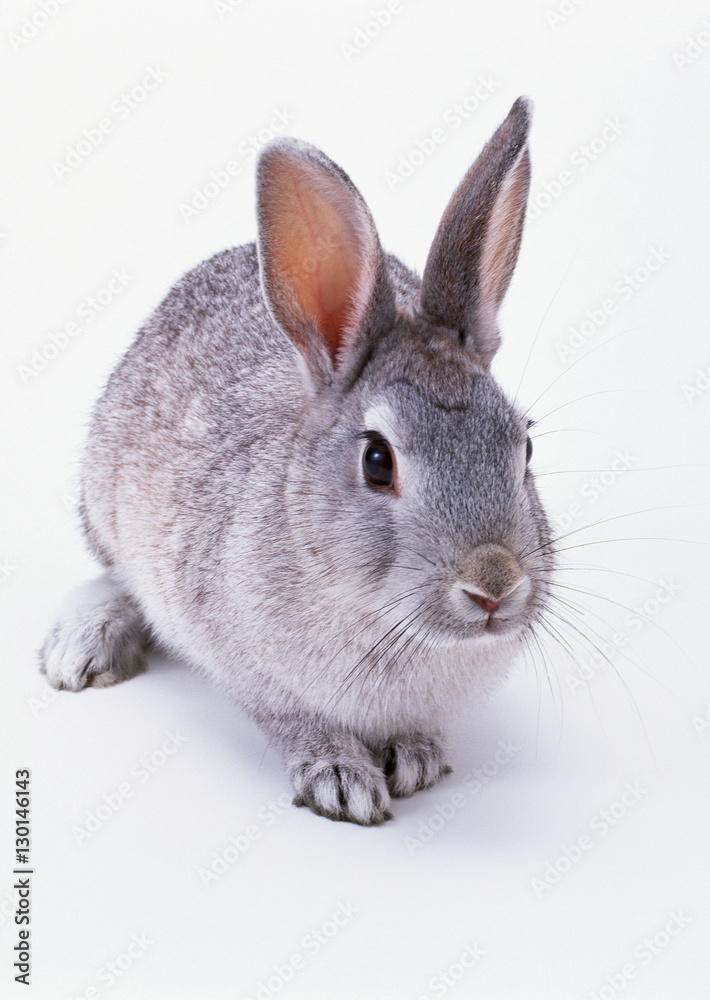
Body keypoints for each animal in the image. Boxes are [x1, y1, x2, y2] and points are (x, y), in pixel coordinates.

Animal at [40, 96, 553, 825]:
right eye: (377, 461)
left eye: (526, 445)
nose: (496, 585)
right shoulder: (251, 667)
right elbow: (293, 721)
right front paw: (342, 778)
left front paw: (416, 758)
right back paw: (81, 647)